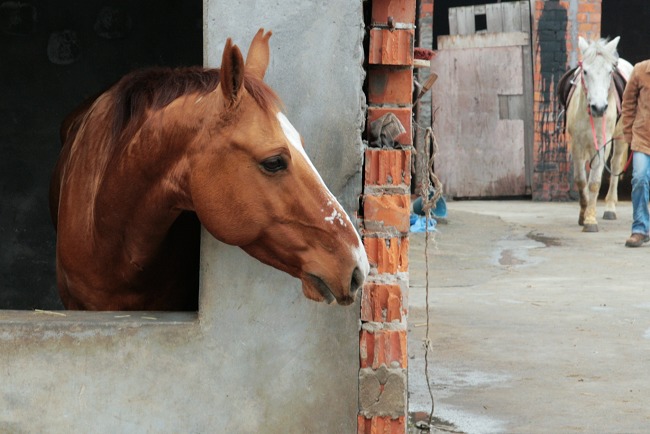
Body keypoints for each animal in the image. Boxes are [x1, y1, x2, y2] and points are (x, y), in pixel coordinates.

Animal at [559, 36, 633, 232]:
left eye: (609, 72)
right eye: (585, 71)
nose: (599, 108)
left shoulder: (600, 144)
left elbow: (594, 182)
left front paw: (590, 220)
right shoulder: (577, 144)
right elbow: (580, 180)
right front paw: (583, 215)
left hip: (620, 138)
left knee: (614, 165)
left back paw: (610, 208)